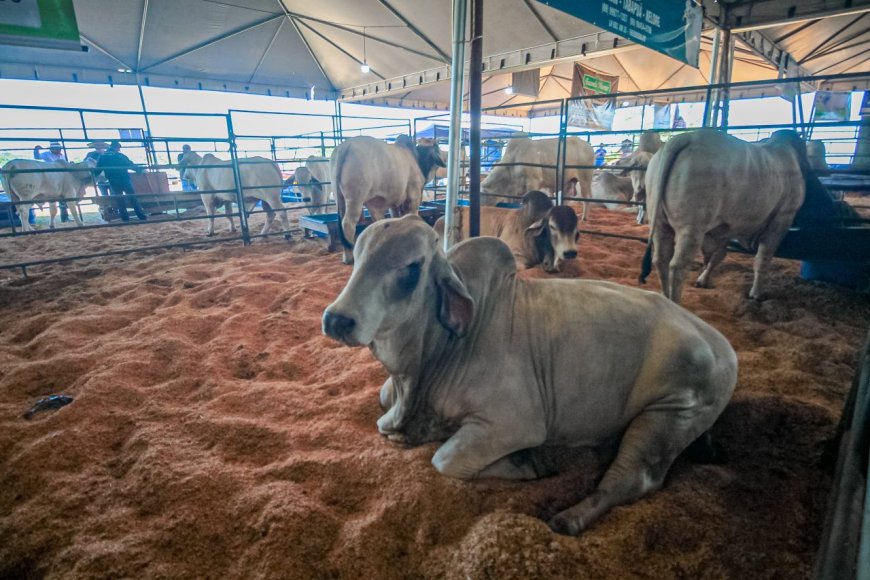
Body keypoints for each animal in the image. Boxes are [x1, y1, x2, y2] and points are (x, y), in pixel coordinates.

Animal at [324, 215, 740, 536]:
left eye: (412, 266)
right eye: (357, 255)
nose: (337, 319)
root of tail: (721, 344)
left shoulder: (513, 423)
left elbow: (445, 459)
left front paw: (526, 464)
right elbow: (384, 407)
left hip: (668, 415)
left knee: (634, 480)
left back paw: (569, 518)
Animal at [330, 135, 446, 264]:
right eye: (437, 146)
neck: (417, 157)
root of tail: (344, 146)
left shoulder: (394, 203)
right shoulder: (414, 197)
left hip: (339, 198)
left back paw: (346, 255)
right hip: (355, 199)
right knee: (348, 223)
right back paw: (350, 257)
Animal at [640, 130, 812, 304]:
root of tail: (684, 137)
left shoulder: (726, 227)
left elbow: (719, 255)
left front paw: (703, 280)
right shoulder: (782, 218)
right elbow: (763, 259)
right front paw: (756, 293)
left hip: (660, 222)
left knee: (661, 260)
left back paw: (664, 297)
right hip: (691, 226)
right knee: (677, 266)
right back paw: (675, 302)